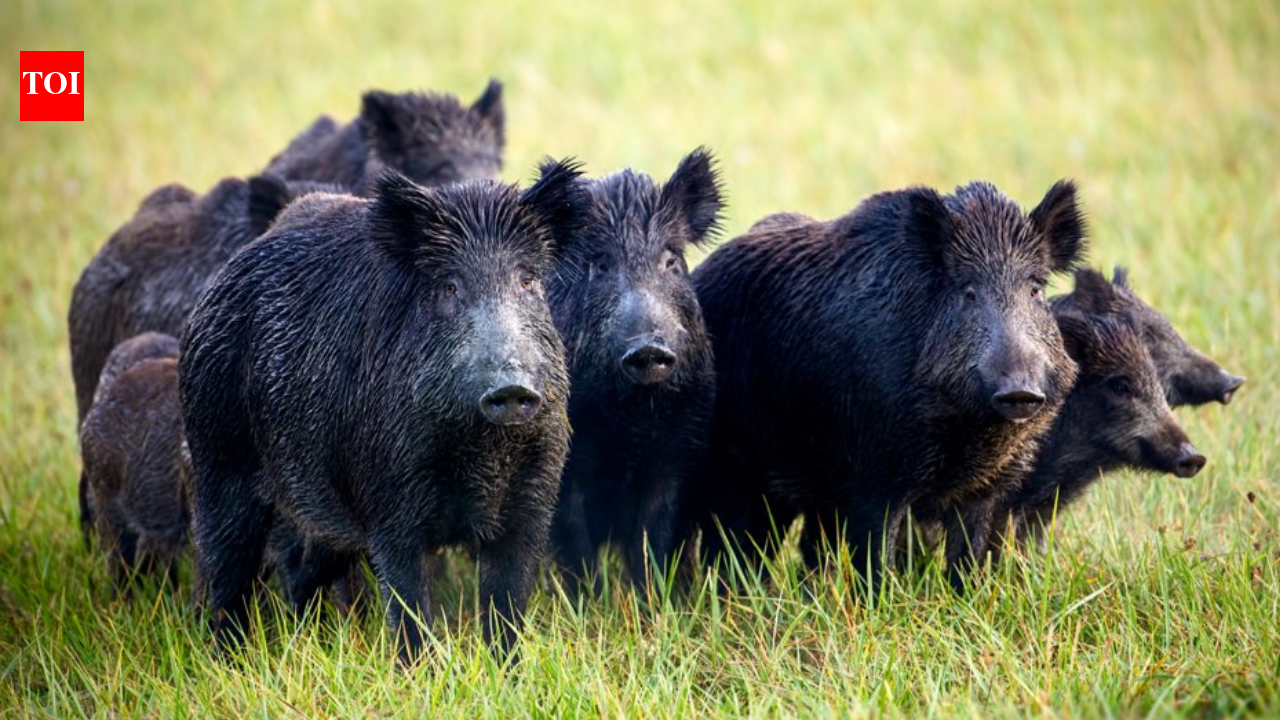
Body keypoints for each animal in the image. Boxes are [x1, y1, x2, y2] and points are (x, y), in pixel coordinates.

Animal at [180, 162, 586, 662]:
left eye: (528, 281)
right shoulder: (391, 503)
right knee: (226, 571)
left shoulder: (532, 502)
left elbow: (506, 610)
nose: (511, 386)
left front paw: (506, 670)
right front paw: (421, 671)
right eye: (449, 286)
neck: (482, 449)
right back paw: (228, 658)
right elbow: (410, 609)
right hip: (218, 460)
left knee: (301, 568)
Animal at [547, 149, 722, 592]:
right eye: (601, 264)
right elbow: (576, 548)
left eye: (671, 260)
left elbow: (653, 542)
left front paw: (655, 601)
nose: (648, 347)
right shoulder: (567, 469)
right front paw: (591, 603)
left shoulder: (677, 455)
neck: (633, 419)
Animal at [682, 180, 1086, 587]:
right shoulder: (876, 475)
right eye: (968, 291)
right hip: (735, 469)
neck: (969, 429)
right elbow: (877, 562)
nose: (1020, 390)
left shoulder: (985, 488)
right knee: (733, 549)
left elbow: (967, 562)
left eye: (1035, 290)